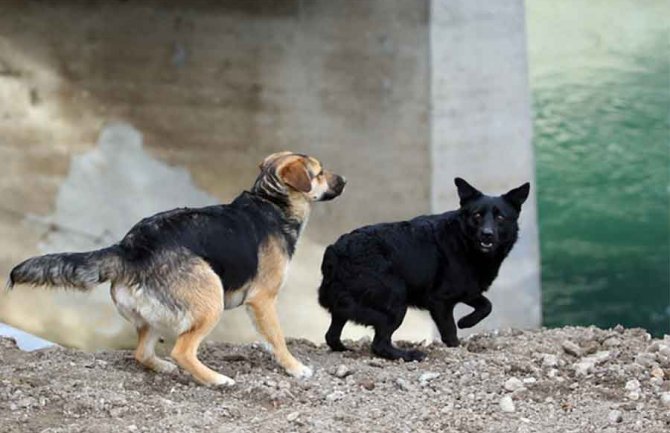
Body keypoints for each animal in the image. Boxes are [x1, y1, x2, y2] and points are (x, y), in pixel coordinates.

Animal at [7, 151, 346, 384]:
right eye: (319, 173)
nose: (344, 180)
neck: (271, 201)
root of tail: (130, 247)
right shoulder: (262, 300)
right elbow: (277, 337)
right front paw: (295, 367)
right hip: (211, 299)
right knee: (182, 351)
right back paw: (216, 380)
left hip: (154, 315)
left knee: (142, 353)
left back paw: (164, 367)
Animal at [318, 177, 532, 360]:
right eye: (477, 215)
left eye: (500, 217)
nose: (487, 234)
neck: (463, 241)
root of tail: (336, 251)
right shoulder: (440, 301)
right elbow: (450, 331)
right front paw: (457, 342)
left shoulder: (468, 291)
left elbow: (487, 305)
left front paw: (466, 321)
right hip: (396, 301)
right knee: (379, 344)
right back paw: (409, 355)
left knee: (331, 335)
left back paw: (344, 349)